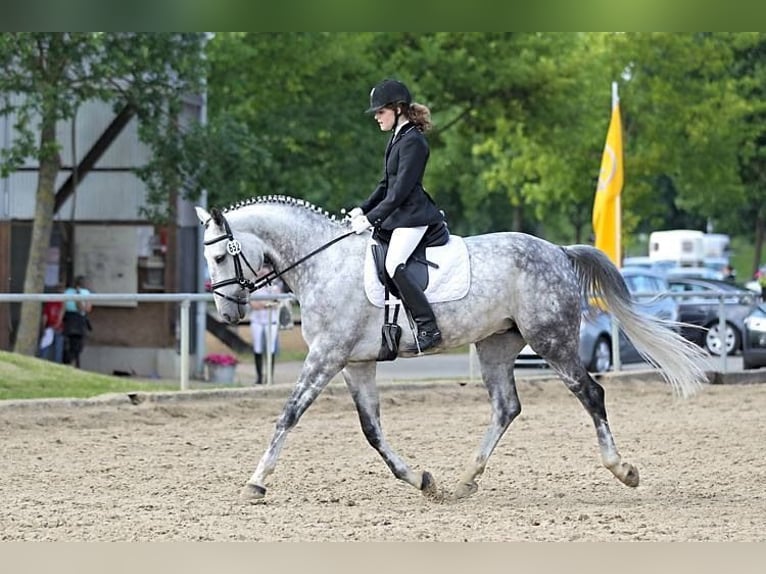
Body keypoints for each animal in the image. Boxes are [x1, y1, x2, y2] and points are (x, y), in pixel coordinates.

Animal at [196, 196, 708, 502]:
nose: (227, 313)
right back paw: (464, 480)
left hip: (552, 341)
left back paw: (623, 470)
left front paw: (256, 482)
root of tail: (559, 251)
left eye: (220, 256)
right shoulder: (355, 364)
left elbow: (289, 414)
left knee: (591, 395)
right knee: (506, 407)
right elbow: (372, 430)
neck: (324, 263)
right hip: (496, 344)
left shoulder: (327, 357)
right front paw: (421, 480)